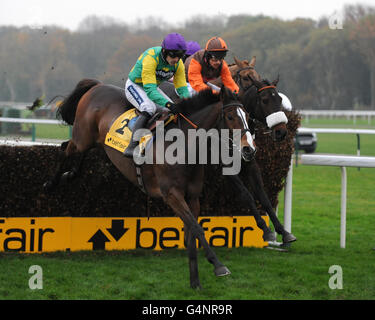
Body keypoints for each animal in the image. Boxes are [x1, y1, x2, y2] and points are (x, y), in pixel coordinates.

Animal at [44, 79, 256, 288]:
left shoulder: (193, 197)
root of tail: (96, 86)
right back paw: (50, 184)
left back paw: (70, 174)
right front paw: (218, 265)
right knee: (65, 148)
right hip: (83, 137)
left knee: (77, 150)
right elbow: (197, 228)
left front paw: (195, 280)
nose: (249, 149)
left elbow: (191, 233)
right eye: (230, 116)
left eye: (247, 116)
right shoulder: (172, 195)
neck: (183, 147)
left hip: (94, 141)